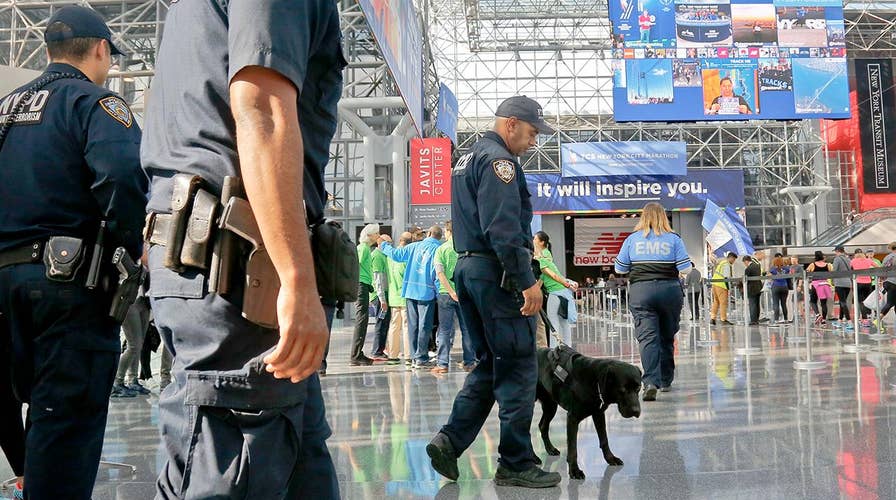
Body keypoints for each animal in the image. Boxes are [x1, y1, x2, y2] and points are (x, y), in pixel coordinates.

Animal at [536, 346, 640, 478]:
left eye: (638, 388)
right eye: (622, 390)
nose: (636, 411)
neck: (594, 381)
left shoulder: (598, 414)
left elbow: (604, 439)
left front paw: (610, 458)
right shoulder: (572, 418)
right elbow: (573, 448)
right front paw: (574, 470)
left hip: (550, 405)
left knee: (542, 425)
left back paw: (550, 449)